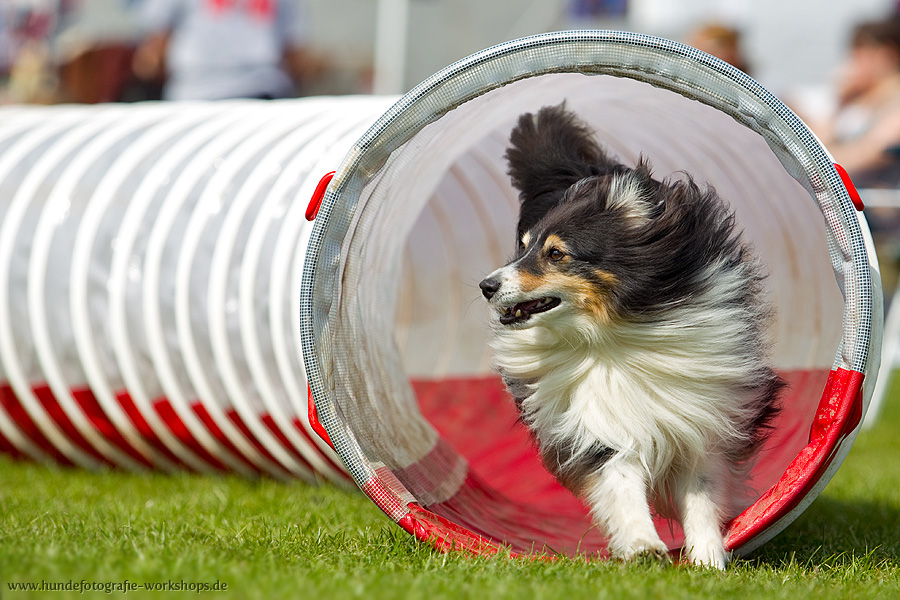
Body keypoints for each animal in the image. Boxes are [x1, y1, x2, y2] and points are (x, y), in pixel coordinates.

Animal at [478, 105, 780, 568]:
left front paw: (708, 558)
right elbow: (619, 479)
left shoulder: (703, 416)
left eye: (556, 253)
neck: (613, 334)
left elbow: (702, 493)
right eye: (523, 247)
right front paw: (643, 546)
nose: (486, 286)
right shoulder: (596, 415)